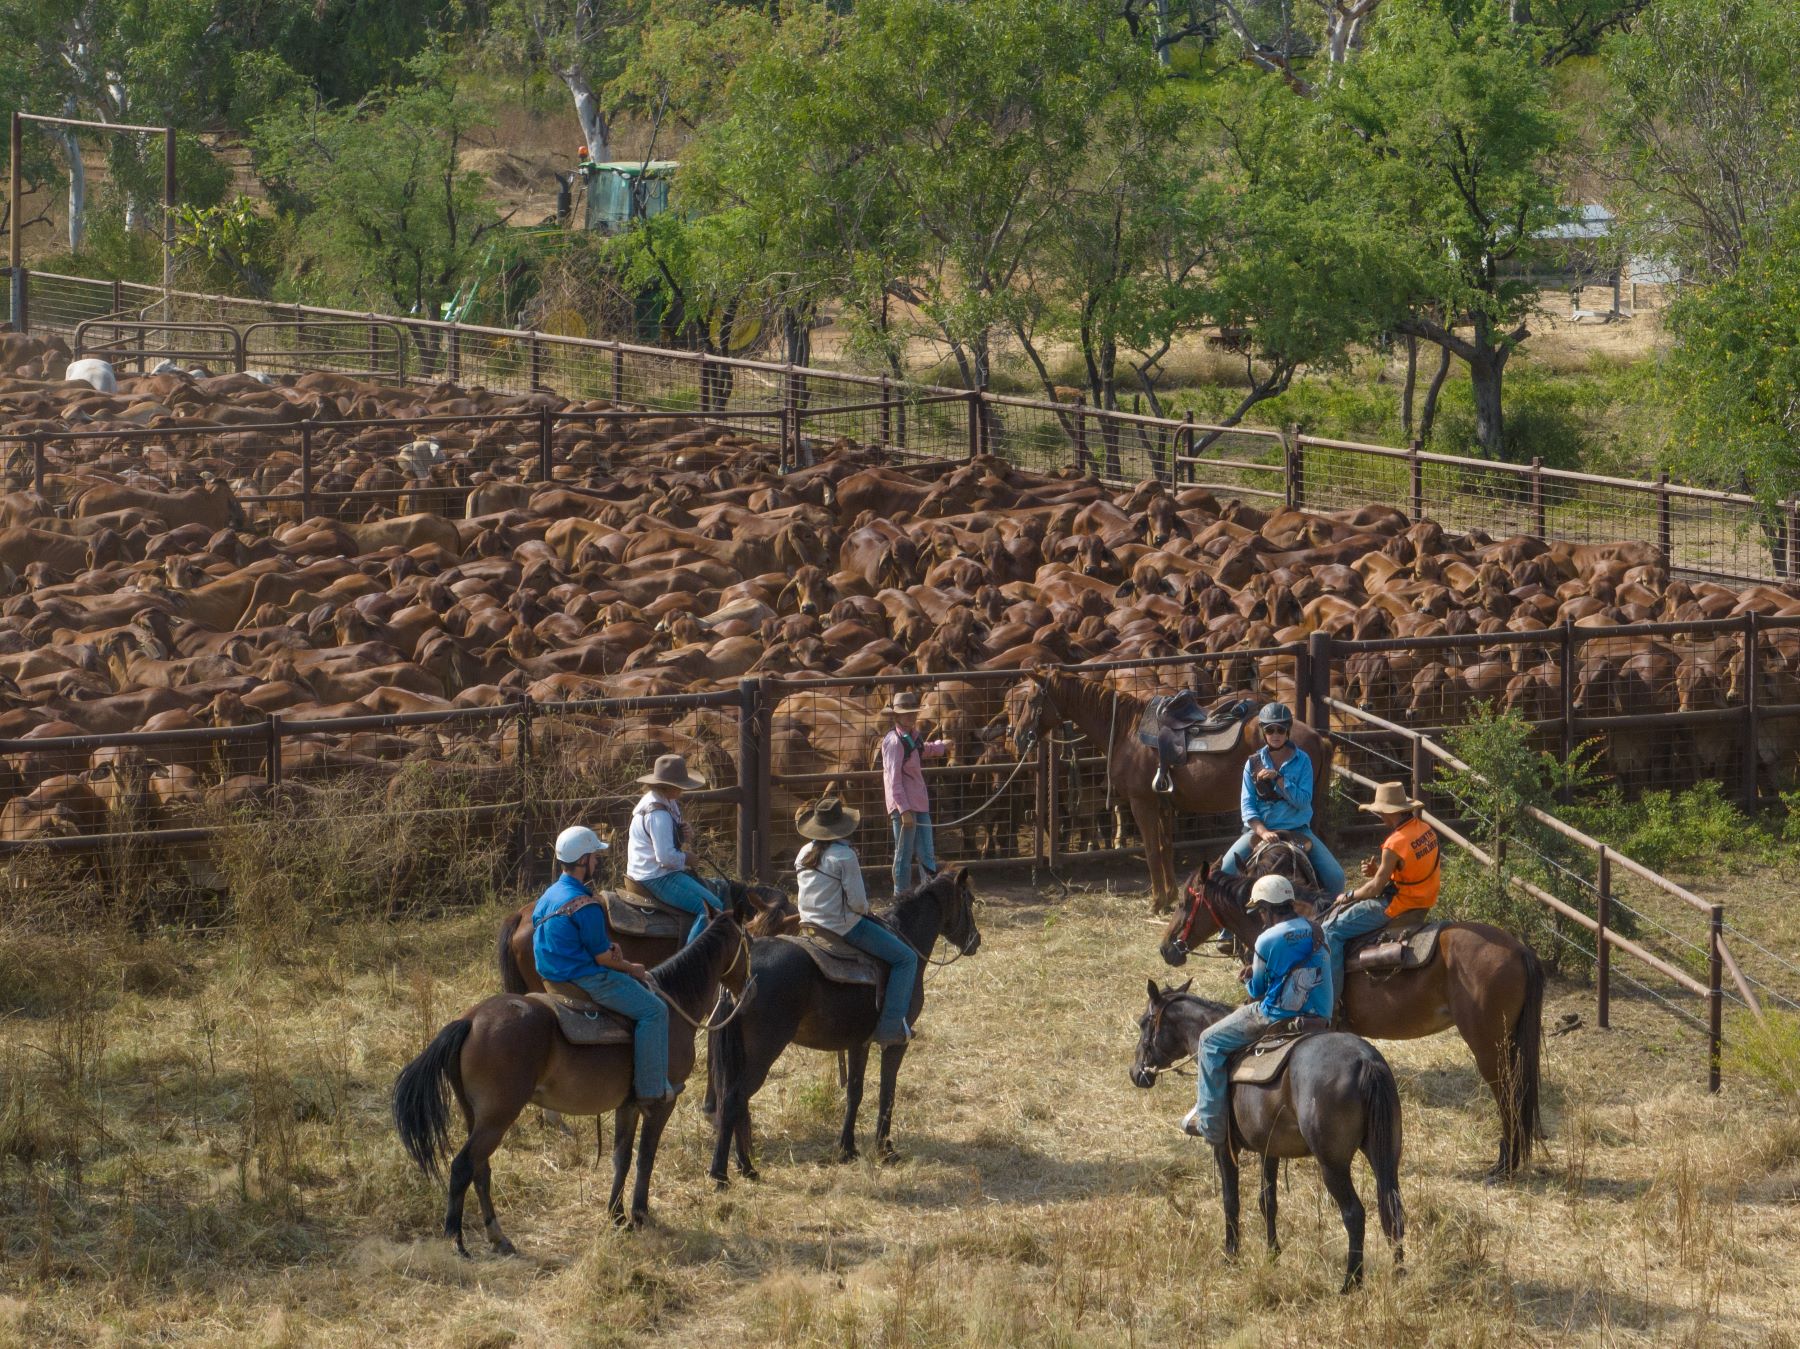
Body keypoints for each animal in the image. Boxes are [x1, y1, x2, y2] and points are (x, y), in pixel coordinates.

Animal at [394, 893, 752, 1253]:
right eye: (747, 941)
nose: (749, 988)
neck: (673, 1003)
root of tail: (469, 1021)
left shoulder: (629, 1104)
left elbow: (621, 1157)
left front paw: (617, 1216)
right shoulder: (663, 1101)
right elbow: (645, 1157)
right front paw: (640, 1214)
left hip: (476, 1116)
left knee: (480, 1170)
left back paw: (498, 1237)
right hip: (497, 1116)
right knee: (462, 1166)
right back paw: (456, 1238)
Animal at [705, 868, 986, 1181]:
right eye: (969, 899)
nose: (976, 941)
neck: (906, 939)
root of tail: (742, 971)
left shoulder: (857, 1043)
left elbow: (855, 1091)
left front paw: (847, 1149)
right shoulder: (895, 1043)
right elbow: (887, 1093)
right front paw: (885, 1150)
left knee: (736, 1102)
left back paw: (745, 1166)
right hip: (763, 1052)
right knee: (733, 1099)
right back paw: (722, 1173)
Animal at [1000, 669, 1339, 911]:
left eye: (1032, 701)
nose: (1018, 738)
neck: (1126, 731)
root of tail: (1317, 736)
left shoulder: (1142, 803)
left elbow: (1152, 850)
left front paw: (1157, 902)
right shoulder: (1163, 804)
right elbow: (1165, 848)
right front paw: (1171, 896)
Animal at [1123, 972, 1404, 1289]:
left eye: (1144, 1022)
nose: (1136, 1073)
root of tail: (1365, 1061)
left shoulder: (1224, 1147)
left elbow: (1231, 1201)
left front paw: (1231, 1256)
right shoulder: (1269, 1149)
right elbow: (1267, 1201)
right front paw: (1273, 1254)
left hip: (1333, 1165)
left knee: (1354, 1214)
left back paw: (1350, 1283)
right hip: (1385, 1154)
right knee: (1393, 1207)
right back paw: (1398, 1273)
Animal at [1166, 864, 1548, 1167]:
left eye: (1185, 902)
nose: (1166, 948)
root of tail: (1520, 949)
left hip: (1486, 1044)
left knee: (1508, 1092)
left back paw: (1506, 1163)